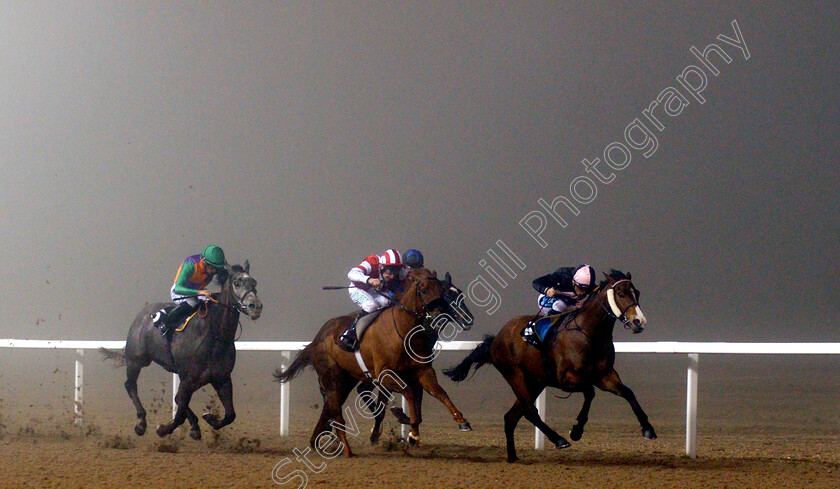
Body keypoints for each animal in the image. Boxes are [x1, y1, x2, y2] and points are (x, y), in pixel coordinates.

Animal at [100, 262, 260, 440]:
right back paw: (141, 423)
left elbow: (230, 415)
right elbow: (180, 414)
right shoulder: (189, 378)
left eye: (254, 283)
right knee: (130, 385)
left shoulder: (221, 378)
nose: (255, 307)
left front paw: (209, 418)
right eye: (237, 283)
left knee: (178, 399)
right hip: (137, 360)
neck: (215, 336)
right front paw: (162, 429)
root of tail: (142, 314)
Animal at [276, 266, 472, 454]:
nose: (468, 320)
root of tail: (317, 338)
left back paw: (317, 441)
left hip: (346, 379)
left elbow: (439, 392)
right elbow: (407, 394)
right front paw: (411, 429)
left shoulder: (422, 371)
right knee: (335, 408)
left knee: (329, 408)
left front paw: (461, 421)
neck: (405, 331)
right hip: (332, 377)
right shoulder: (385, 374)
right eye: (424, 290)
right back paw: (343, 447)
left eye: (442, 291)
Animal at [442, 268, 652, 464]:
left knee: (511, 416)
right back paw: (559, 440)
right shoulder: (566, 379)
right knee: (529, 411)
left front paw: (648, 429)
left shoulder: (604, 375)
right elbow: (590, 392)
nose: (639, 321)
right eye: (621, 294)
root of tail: (496, 339)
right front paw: (576, 430)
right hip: (515, 375)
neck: (588, 333)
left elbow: (628, 392)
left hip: (535, 381)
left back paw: (513, 457)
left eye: (637, 292)